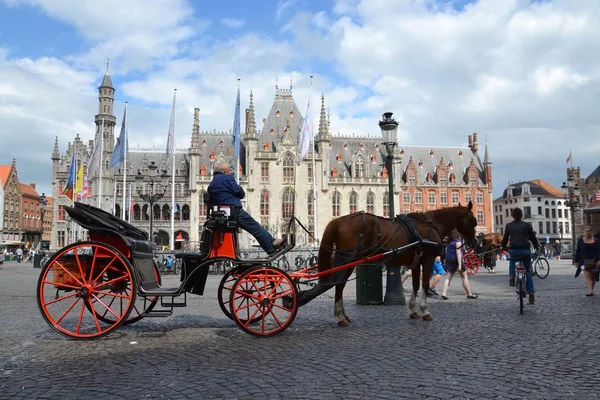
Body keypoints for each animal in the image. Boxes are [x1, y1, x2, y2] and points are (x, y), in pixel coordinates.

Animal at [302, 202, 476, 324]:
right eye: (473, 221)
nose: (473, 242)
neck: (431, 225)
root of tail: (339, 220)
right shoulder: (428, 259)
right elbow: (425, 285)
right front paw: (425, 311)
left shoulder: (416, 262)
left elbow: (415, 285)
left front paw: (412, 311)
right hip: (348, 259)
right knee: (339, 284)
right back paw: (340, 317)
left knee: (338, 284)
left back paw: (343, 315)